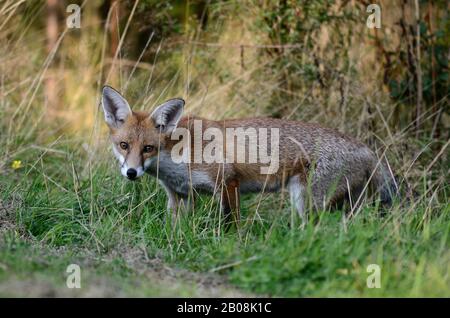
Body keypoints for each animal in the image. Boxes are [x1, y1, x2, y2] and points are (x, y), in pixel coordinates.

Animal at [101, 85, 398, 225]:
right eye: (124, 145)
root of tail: (368, 149)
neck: (178, 156)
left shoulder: (227, 183)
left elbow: (231, 225)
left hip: (307, 201)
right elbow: (175, 228)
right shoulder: (179, 196)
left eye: (148, 148)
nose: (131, 172)